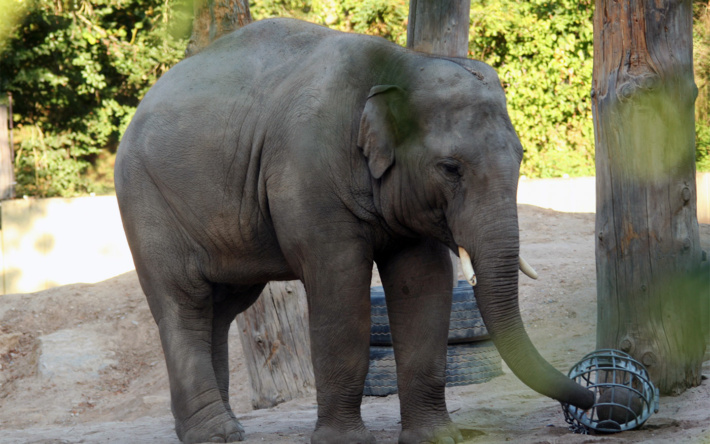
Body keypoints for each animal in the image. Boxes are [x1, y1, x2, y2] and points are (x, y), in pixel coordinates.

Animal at [115, 17, 596, 444]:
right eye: (450, 168)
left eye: (520, 155)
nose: (591, 399)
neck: (400, 65)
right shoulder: (307, 174)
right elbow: (339, 285)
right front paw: (344, 440)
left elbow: (424, 283)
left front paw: (437, 437)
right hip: (145, 199)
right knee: (184, 302)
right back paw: (216, 434)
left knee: (222, 306)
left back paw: (219, 430)